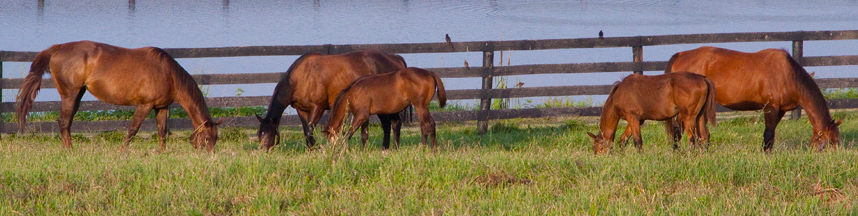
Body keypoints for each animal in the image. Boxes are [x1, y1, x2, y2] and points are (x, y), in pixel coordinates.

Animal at [15, 41, 222, 151]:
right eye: (207, 138)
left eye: (216, 138)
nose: (209, 157)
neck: (167, 72)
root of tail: (58, 48)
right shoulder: (145, 105)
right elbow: (133, 129)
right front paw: (122, 151)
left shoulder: (161, 107)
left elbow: (162, 131)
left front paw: (162, 153)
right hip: (69, 95)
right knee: (64, 122)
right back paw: (70, 151)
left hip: (78, 95)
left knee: (67, 122)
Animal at [254, 49, 404, 150]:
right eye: (259, 134)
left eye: (268, 134)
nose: (262, 151)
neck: (302, 77)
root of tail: (395, 58)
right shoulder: (301, 110)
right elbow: (306, 131)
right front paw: (311, 149)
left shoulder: (318, 107)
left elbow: (310, 131)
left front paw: (317, 147)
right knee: (387, 124)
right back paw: (385, 148)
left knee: (395, 122)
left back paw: (393, 148)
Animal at [580, 72, 716, 154]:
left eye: (597, 147)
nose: (598, 158)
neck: (618, 94)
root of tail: (703, 78)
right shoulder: (638, 120)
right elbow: (623, 140)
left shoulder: (632, 118)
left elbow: (637, 141)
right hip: (699, 117)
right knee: (704, 135)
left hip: (689, 117)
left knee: (692, 138)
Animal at [664, 46, 840, 150]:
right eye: (828, 144)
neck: (787, 74)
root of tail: (681, 55)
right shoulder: (770, 108)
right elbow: (768, 135)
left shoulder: (781, 111)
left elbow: (771, 135)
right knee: (678, 129)